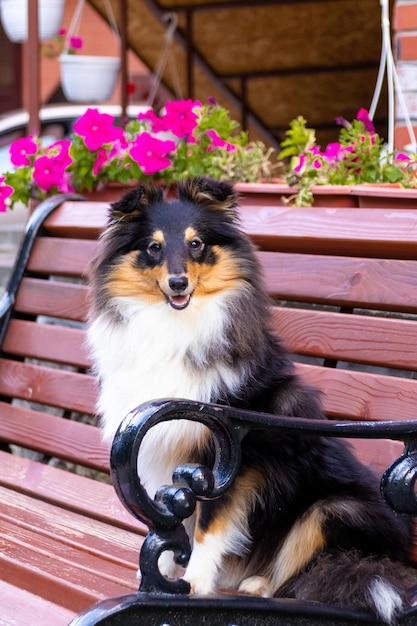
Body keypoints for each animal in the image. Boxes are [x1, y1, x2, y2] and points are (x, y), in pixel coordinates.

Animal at [87, 174, 412, 620]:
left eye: (196, 244)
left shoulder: (228, 458)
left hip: (332, 509)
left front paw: (193, 584)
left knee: (315, 574)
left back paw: (261, 584)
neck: (175, 323)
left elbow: (208, 526)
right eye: (153, 247)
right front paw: (164, 575)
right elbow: (173, 518)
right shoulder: (164, 449)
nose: (178, 283)